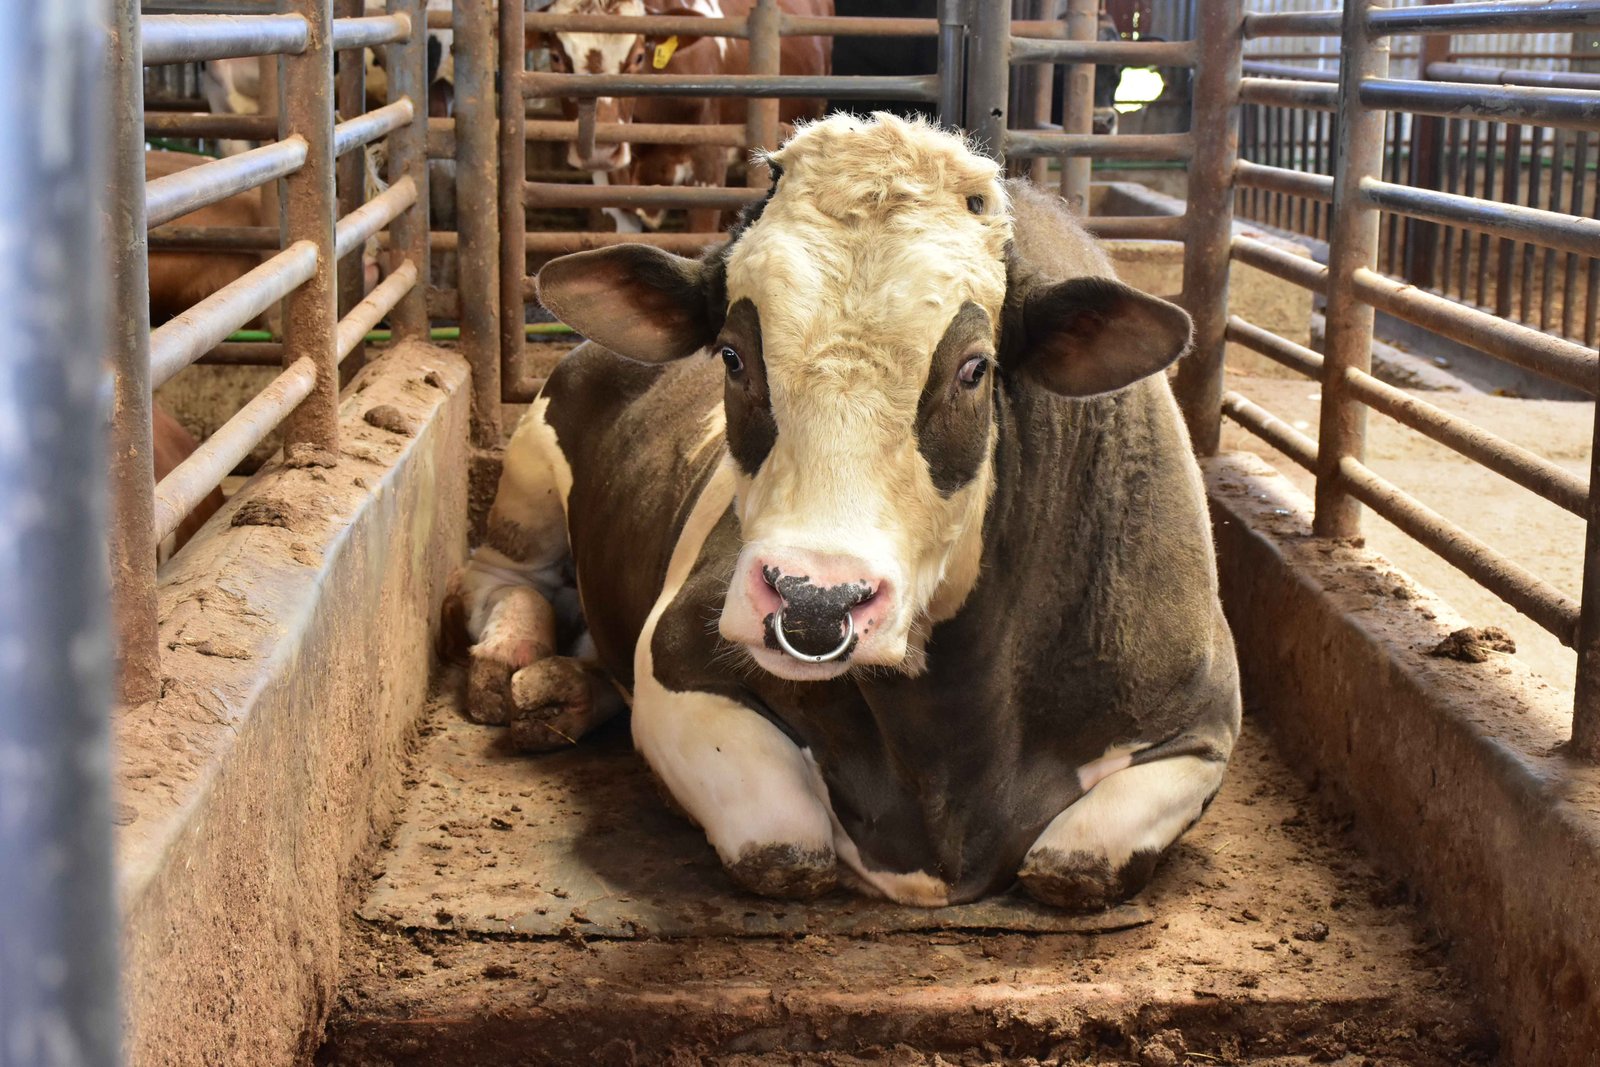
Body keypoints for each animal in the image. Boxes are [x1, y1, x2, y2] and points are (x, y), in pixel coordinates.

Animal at [446, 113, 1240, 911]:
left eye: (975, 368)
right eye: (732, 355)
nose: (814, 601)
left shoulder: (1203, 721)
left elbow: (1075, 863)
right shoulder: (673, 652)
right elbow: (785, 849)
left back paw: (558, 693)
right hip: (529, 475)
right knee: (497, 578)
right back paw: (511, 659)